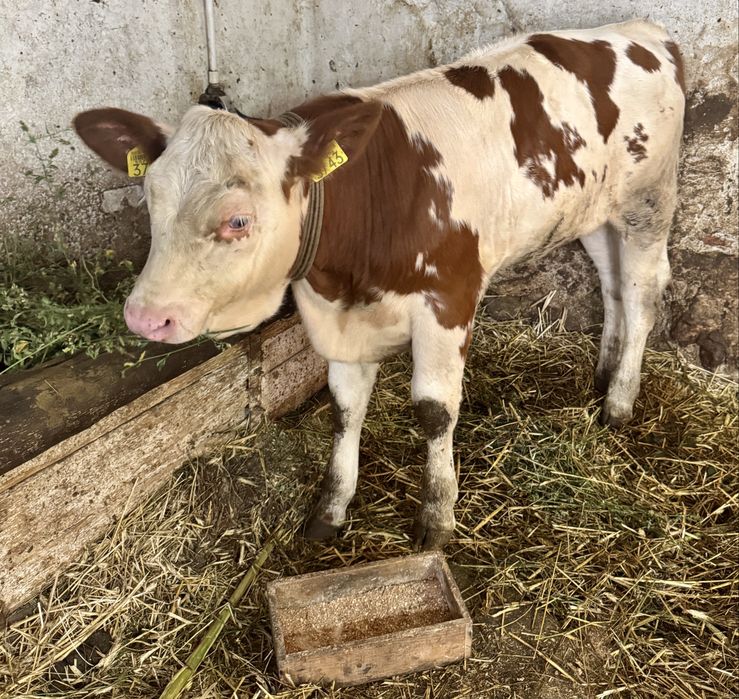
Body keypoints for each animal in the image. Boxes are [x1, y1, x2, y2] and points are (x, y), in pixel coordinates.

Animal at [74, 20, 685, 549]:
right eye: (150, 198)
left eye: (238, 220)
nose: (145, 316)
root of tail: (642, 29)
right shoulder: (335, 316)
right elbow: (345, 408)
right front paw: (331, 509)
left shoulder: (449, 300)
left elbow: (435, 411)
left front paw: (437, 518)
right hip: (594, 212)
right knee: (610, 284)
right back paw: (602, 373)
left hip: (649, 202)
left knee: (642, 292)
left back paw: (619, 401)